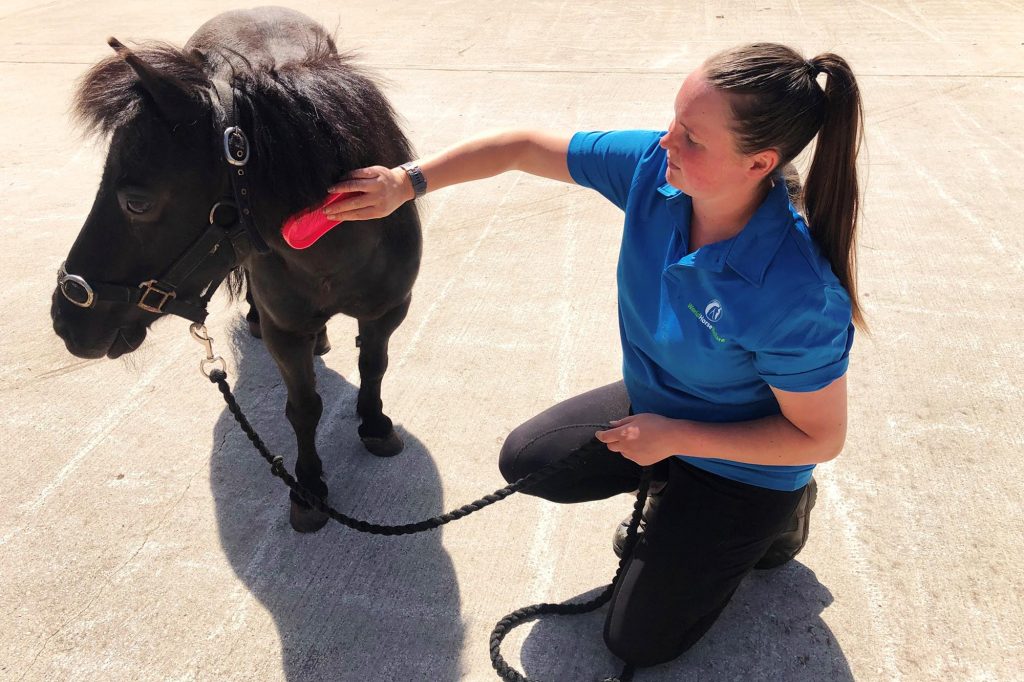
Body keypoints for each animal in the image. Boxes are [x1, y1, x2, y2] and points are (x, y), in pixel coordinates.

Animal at [48, 7, 421, 532]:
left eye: (136, 202)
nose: (66, 319)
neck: (338, 253)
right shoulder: (286, 331)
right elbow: (304, 408)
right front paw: (309, 490)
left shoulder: (389, 311)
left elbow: (374, 365)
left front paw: (374, 425)